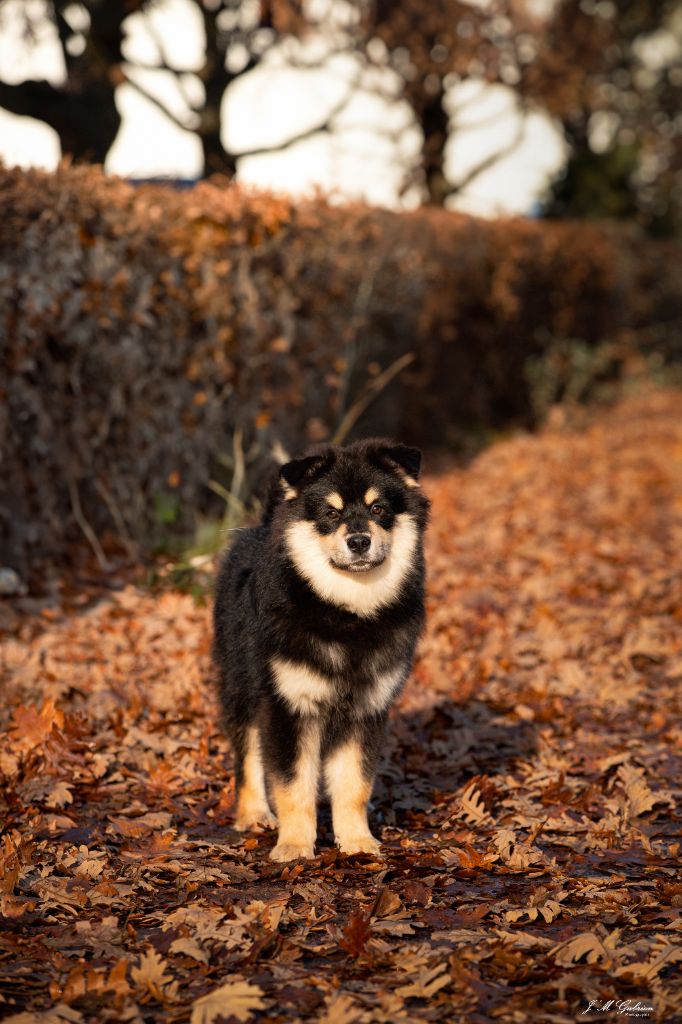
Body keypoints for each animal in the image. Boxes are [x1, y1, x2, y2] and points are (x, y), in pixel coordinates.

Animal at [212, 436, 428, 860]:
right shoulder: (289, 706)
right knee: (247, 755)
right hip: (242, 685)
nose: (358, 541)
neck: (346, 614)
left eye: (378, 508)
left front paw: (357, 841)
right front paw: (295, 846)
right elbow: (294, 785)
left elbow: (354, 785)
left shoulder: (366, 709)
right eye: (330, 512)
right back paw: (253, 814)